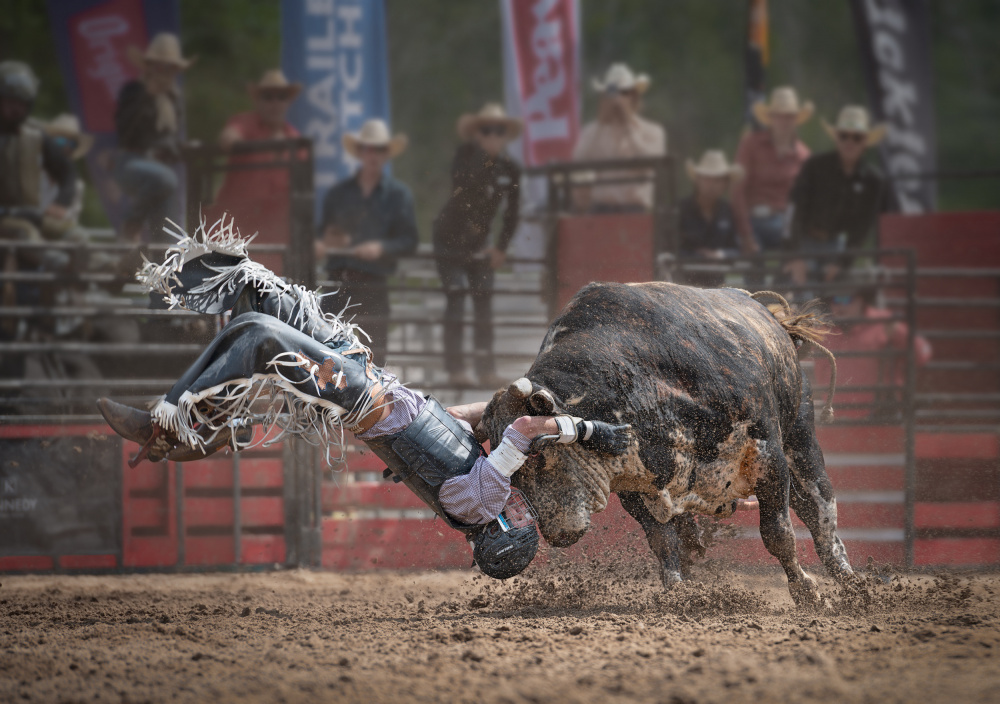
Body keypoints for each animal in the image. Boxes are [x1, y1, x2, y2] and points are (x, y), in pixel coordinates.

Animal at [480, 280, 856, 604]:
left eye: (540, 454)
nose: (554, 534)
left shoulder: (769, 459)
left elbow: (779, 534)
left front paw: (808, 593)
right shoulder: (634, 485)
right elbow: (663, 541)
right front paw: (678, 592)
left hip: (801, 443)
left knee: (820, 515)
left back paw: (854, 587)